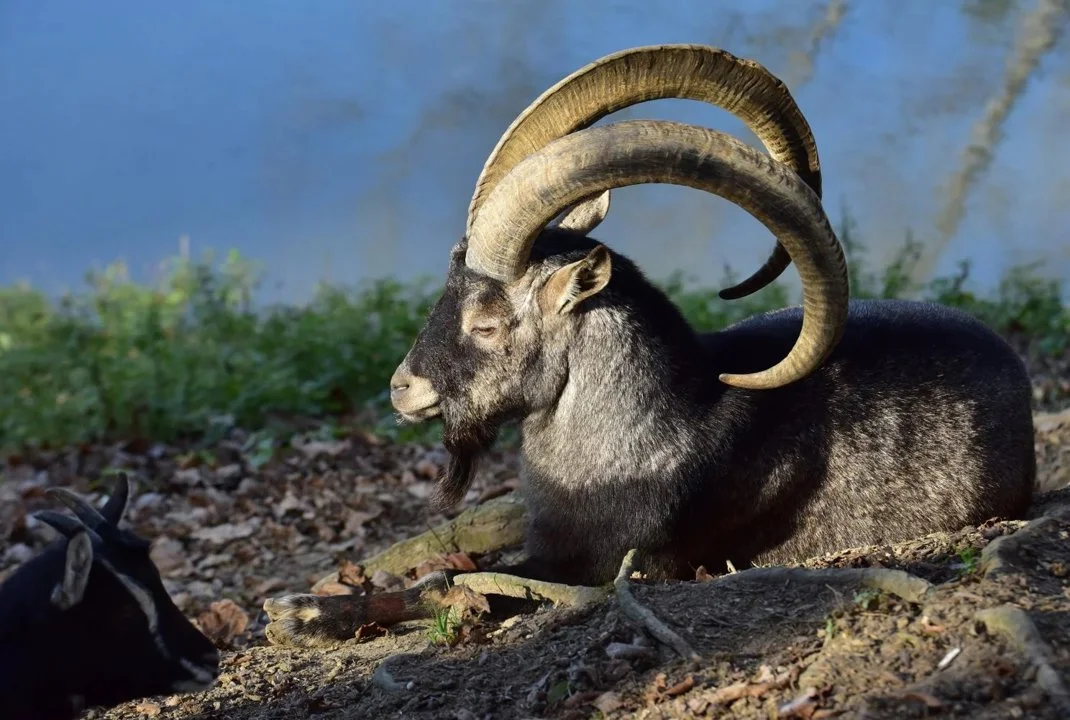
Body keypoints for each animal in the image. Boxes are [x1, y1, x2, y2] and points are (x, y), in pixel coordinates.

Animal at [261, 45, 1035, 647]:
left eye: (487, 322)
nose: (404, 388)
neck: (652, 435)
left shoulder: (615, 565)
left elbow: (458, 584)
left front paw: (296, 614)